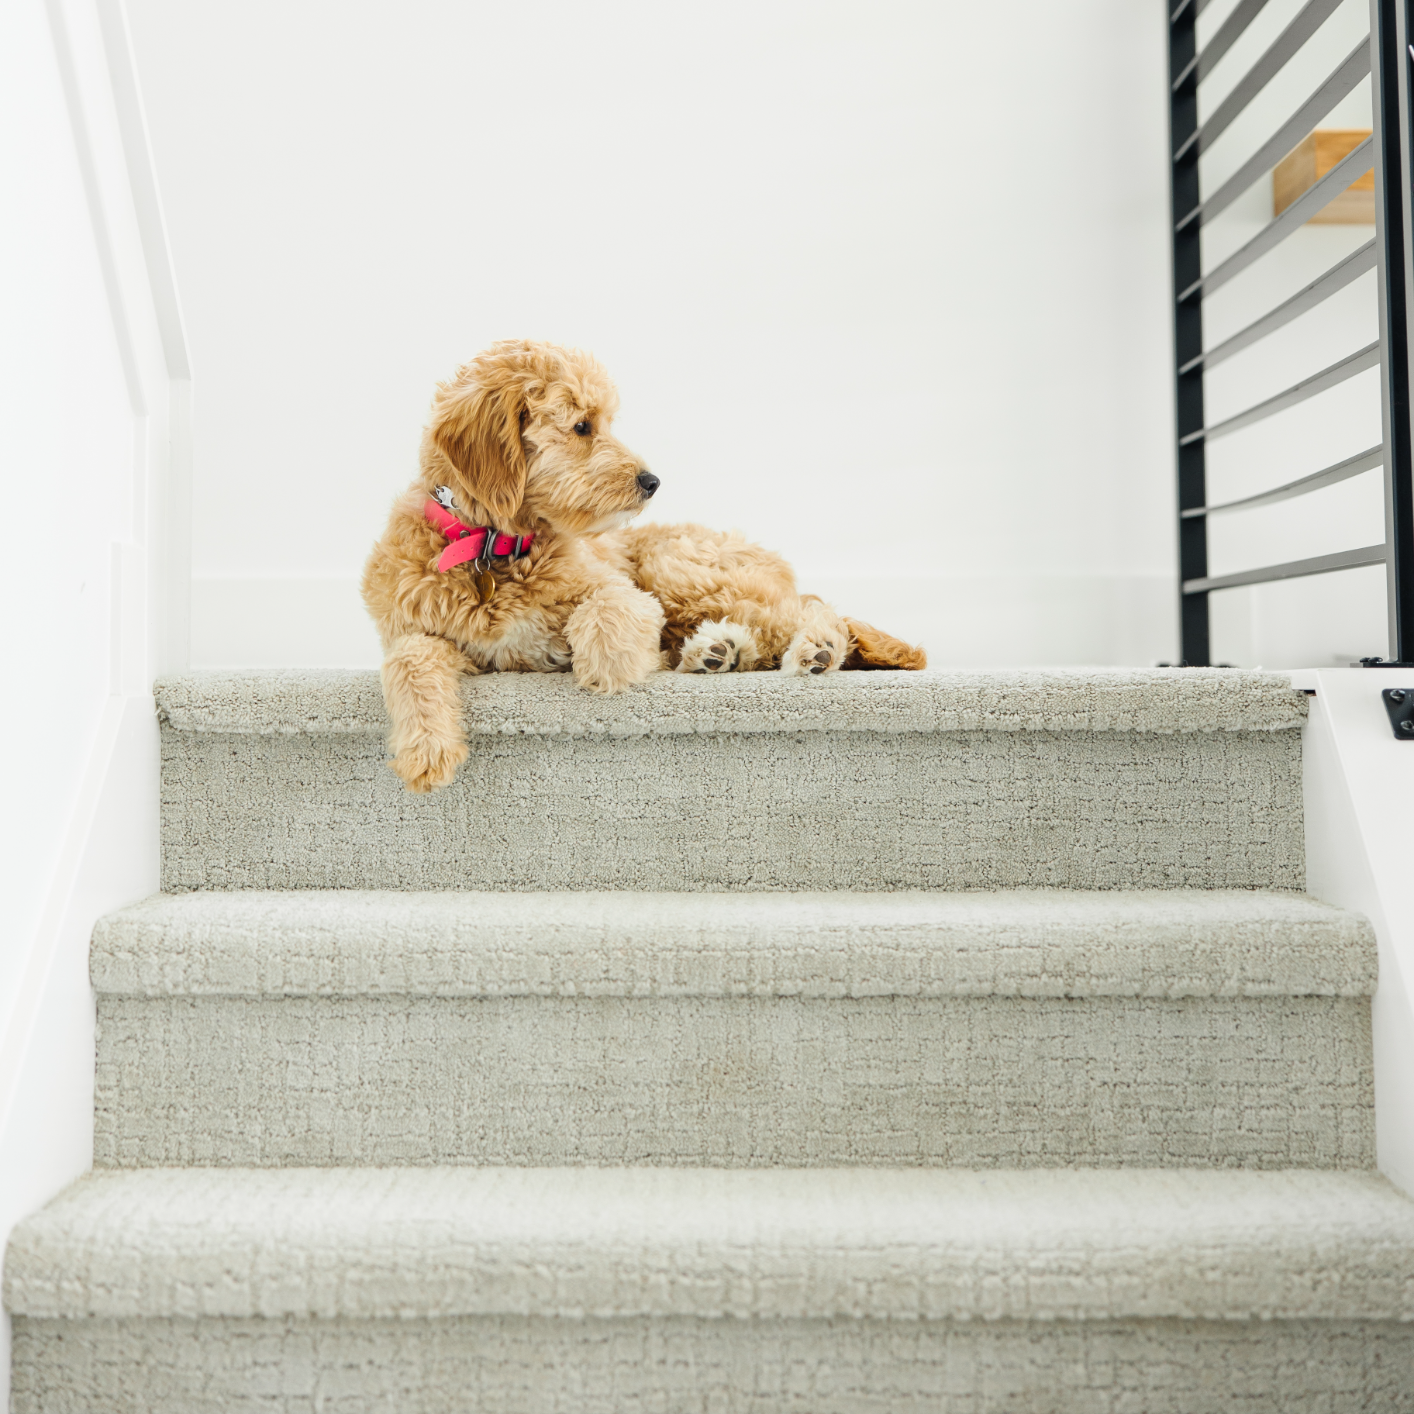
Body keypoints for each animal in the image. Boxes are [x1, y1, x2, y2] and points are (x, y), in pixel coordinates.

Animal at [359, 336, 921, 791]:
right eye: (582, 426)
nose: (652, 482)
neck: (491, 547)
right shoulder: (423, 634)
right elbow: (408, 662)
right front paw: (426, 750)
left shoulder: (628, 593)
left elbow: (607, 607)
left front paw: (604, 662)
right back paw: (717, 652)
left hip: (677, 572)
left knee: (816, 610)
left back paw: (817, 649)